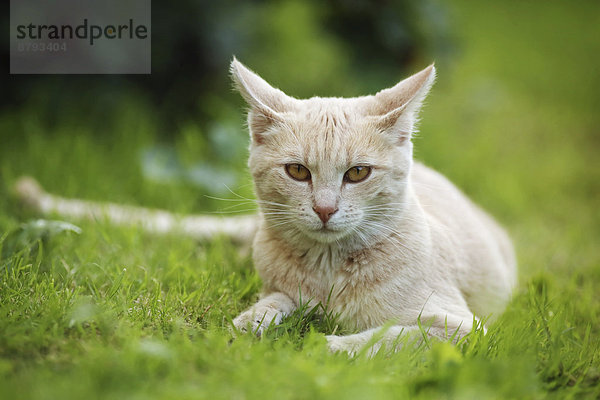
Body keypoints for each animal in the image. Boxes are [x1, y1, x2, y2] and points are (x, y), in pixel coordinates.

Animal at [12, 57, 516, 354]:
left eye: (357, 173)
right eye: (297, 172)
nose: (325, 209)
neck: (327, 271)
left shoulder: (461, 329)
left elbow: (388, 337)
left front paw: (324, 345)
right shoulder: (279, 283)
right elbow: (273, 301)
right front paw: (250, 323)